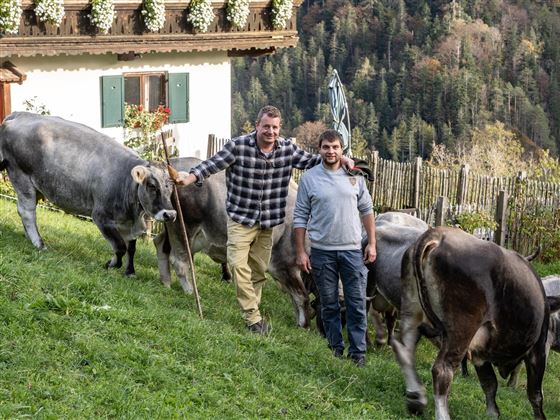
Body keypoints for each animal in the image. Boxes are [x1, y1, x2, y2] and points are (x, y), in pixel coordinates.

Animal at [392, 226, 552, 420]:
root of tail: (438, 235)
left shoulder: (480, 352)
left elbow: (489, 383)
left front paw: (492, 414)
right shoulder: (538, 348)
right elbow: (535, 393)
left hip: (411, 312)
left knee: (403, 348)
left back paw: (416, 398)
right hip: (461, 329)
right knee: (442, 369)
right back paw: (441, 414)